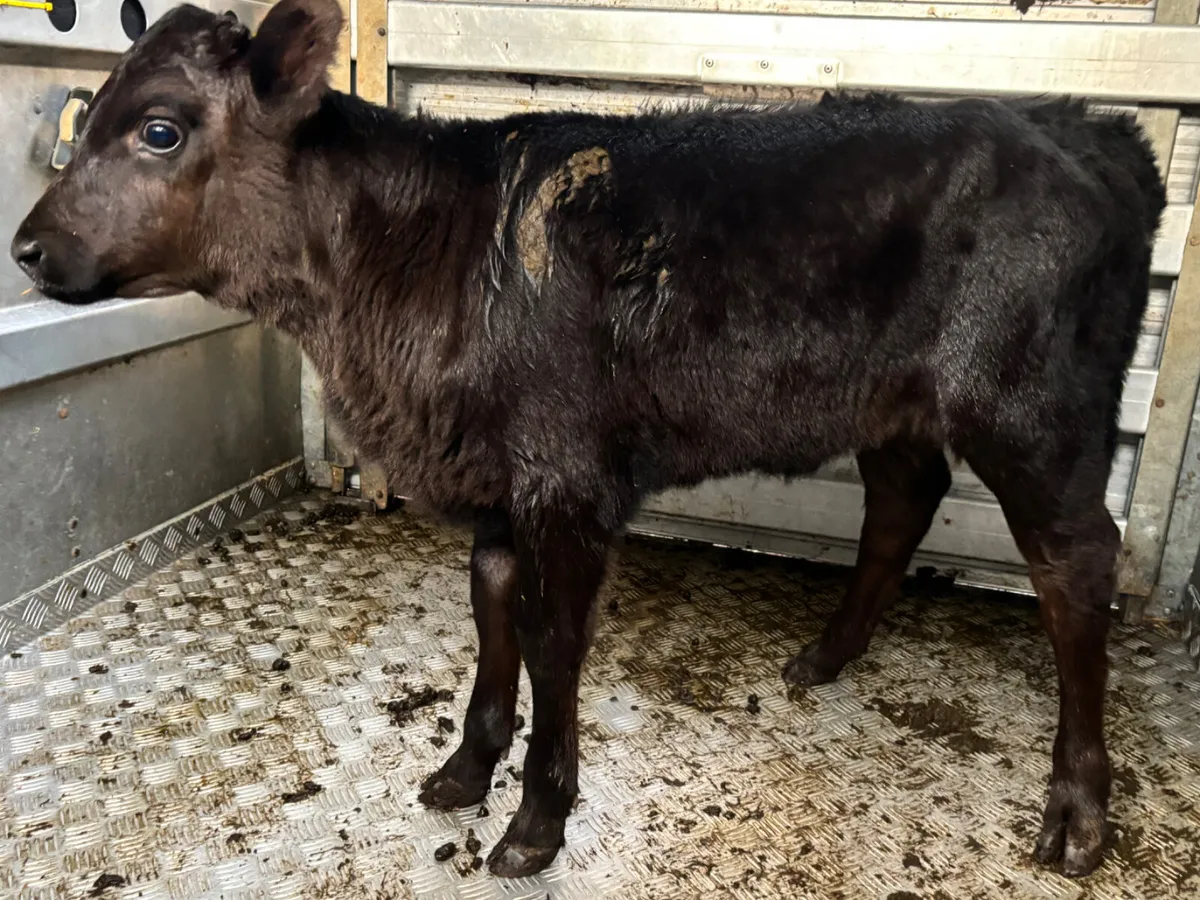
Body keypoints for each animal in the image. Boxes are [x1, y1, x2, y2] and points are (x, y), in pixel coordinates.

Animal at [11, 0, 1166, 880]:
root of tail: (1090, 129)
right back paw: (828, 656)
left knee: (1076, 567)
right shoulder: (492, 483)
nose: (26, 246)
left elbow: (552, 638)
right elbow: (490, 615)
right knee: (905, 498)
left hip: (1035, 409)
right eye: (90, 114)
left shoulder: (568, 481)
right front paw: (463, 773)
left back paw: (1077, 812)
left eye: (161, 130)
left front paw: (534, 822)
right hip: (896, 402)